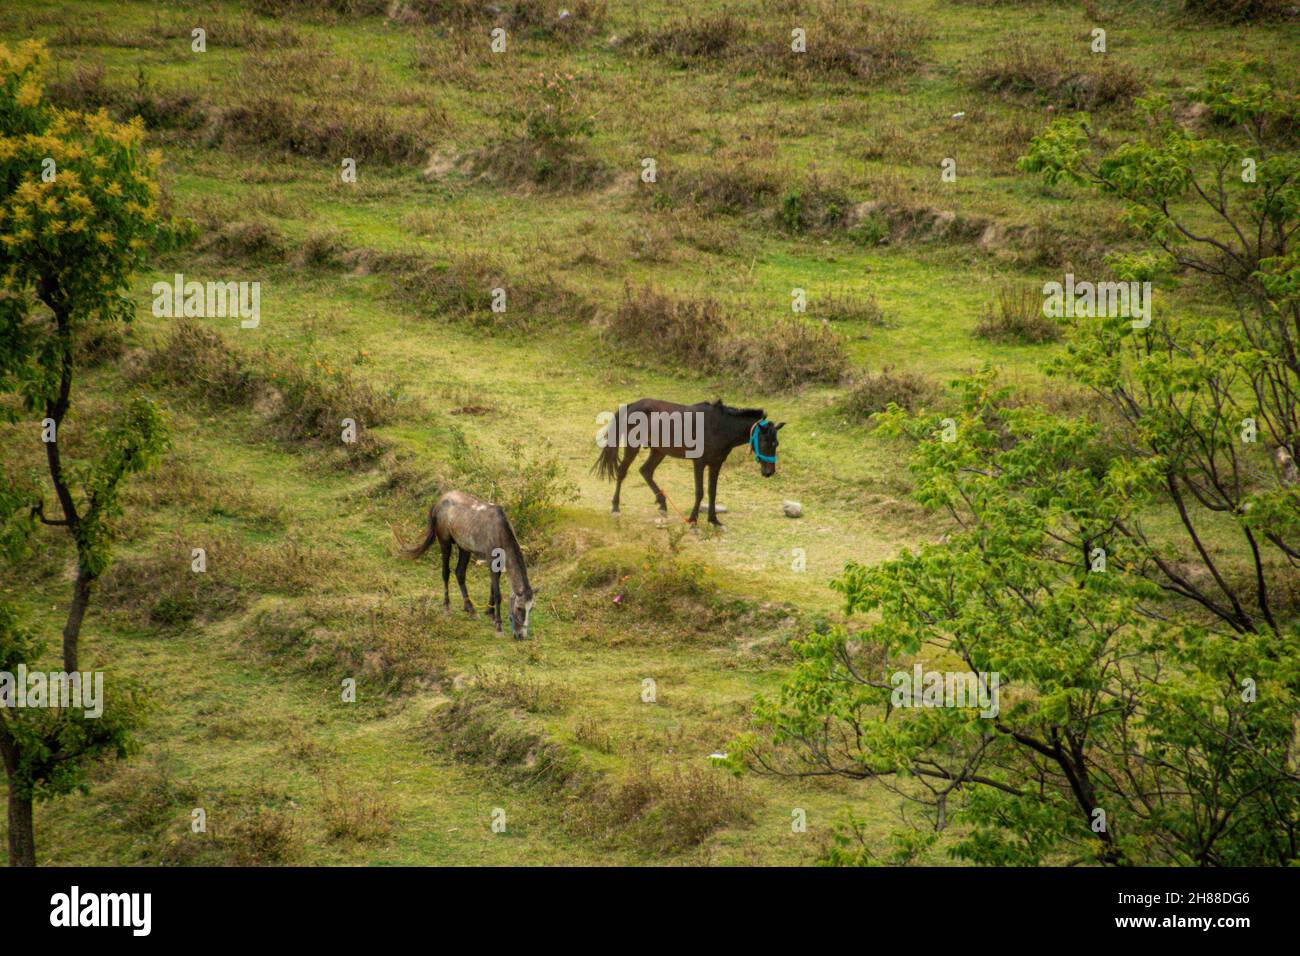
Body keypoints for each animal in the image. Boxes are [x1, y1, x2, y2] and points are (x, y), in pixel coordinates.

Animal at [395, 490, 536, 640]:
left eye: (531, 608)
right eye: (520, 608)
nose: (521, 635)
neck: (499, 530)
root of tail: (440, 500)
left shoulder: (498, 562)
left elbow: (493, 586)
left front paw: (490, 613)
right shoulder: (491, 559)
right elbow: (498, 594)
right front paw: (498, 625)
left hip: (464, 547)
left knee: (460, 573)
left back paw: (470, 609)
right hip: (445, 543)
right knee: (446, 573)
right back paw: (447, 607)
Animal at [592, 398, 784, 526]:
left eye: (776, 443)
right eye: (765, 442)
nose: (769, 472)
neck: (720, 427)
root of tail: (633, 405)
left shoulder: (716, 464)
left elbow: (712, 492)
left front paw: (713, 519)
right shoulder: (699, 463)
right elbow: (700, 492)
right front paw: (692, 519)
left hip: (659, 450)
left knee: (646, 471)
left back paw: (662, 504)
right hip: (633, 446)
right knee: (622, 471)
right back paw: (616, 507)